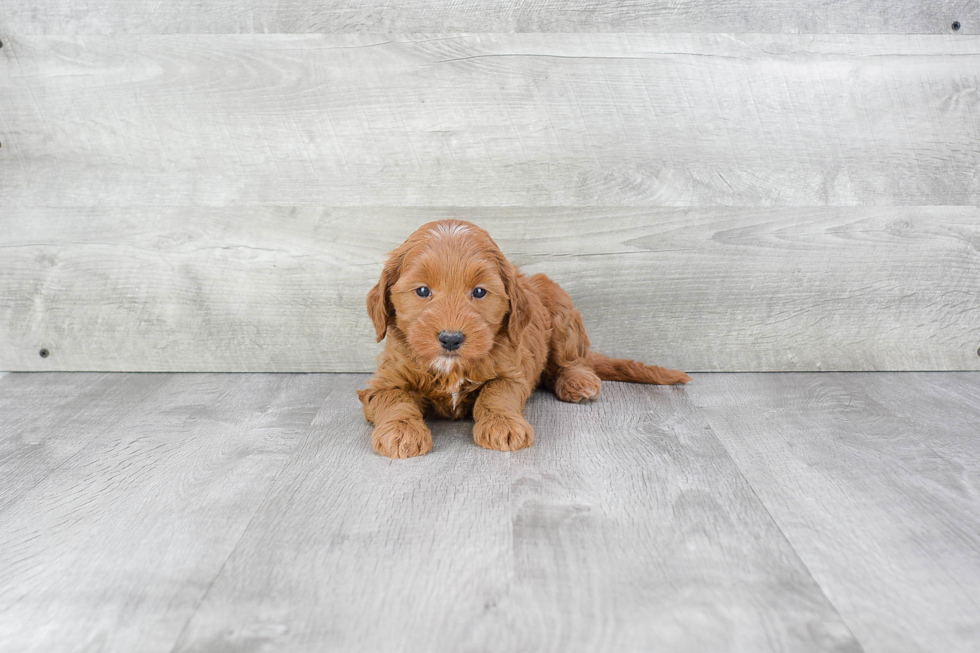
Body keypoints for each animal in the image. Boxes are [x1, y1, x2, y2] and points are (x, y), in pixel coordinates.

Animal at [358, 220, 688, 458]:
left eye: (479, 291)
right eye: (423, 291)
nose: (451, 339)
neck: (452, 368)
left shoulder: (511, 372)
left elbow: (495, 395)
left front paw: (503, 425)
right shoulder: (382, 383)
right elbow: (395, 399)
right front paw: (401, 431)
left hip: (560, 310)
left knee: (571, 361)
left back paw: (577, 381)